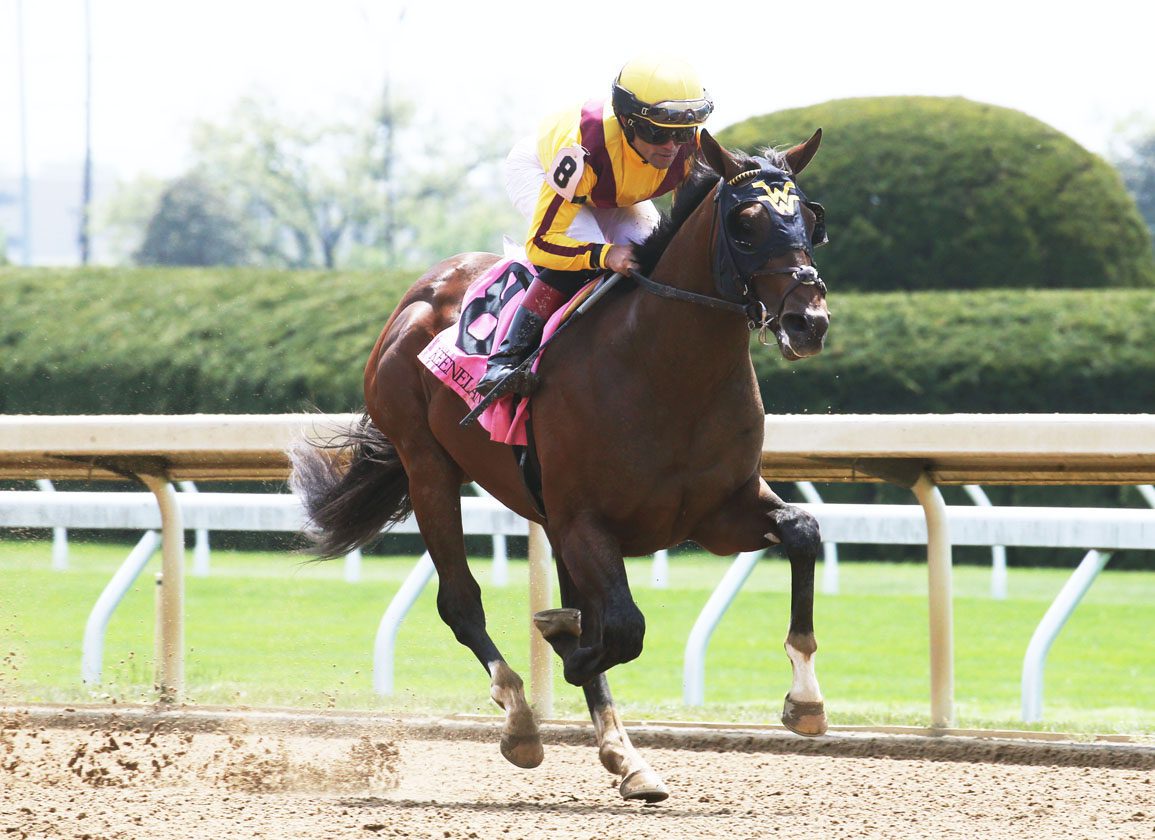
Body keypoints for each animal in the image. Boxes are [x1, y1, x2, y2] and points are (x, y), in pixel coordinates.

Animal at [289, 128, 831, 803]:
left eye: (811, 218)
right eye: (747, 222)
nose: (808, 321)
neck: (667, 370)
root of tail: (423, 290)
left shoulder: (716, 513)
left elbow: (802, 532)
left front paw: (805, 700)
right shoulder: (585, 522)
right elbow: (621, 628)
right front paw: (562, 642)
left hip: (545, 513)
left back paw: (626, 756)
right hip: (428, 467)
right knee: (461, 603)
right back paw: (522, 719)